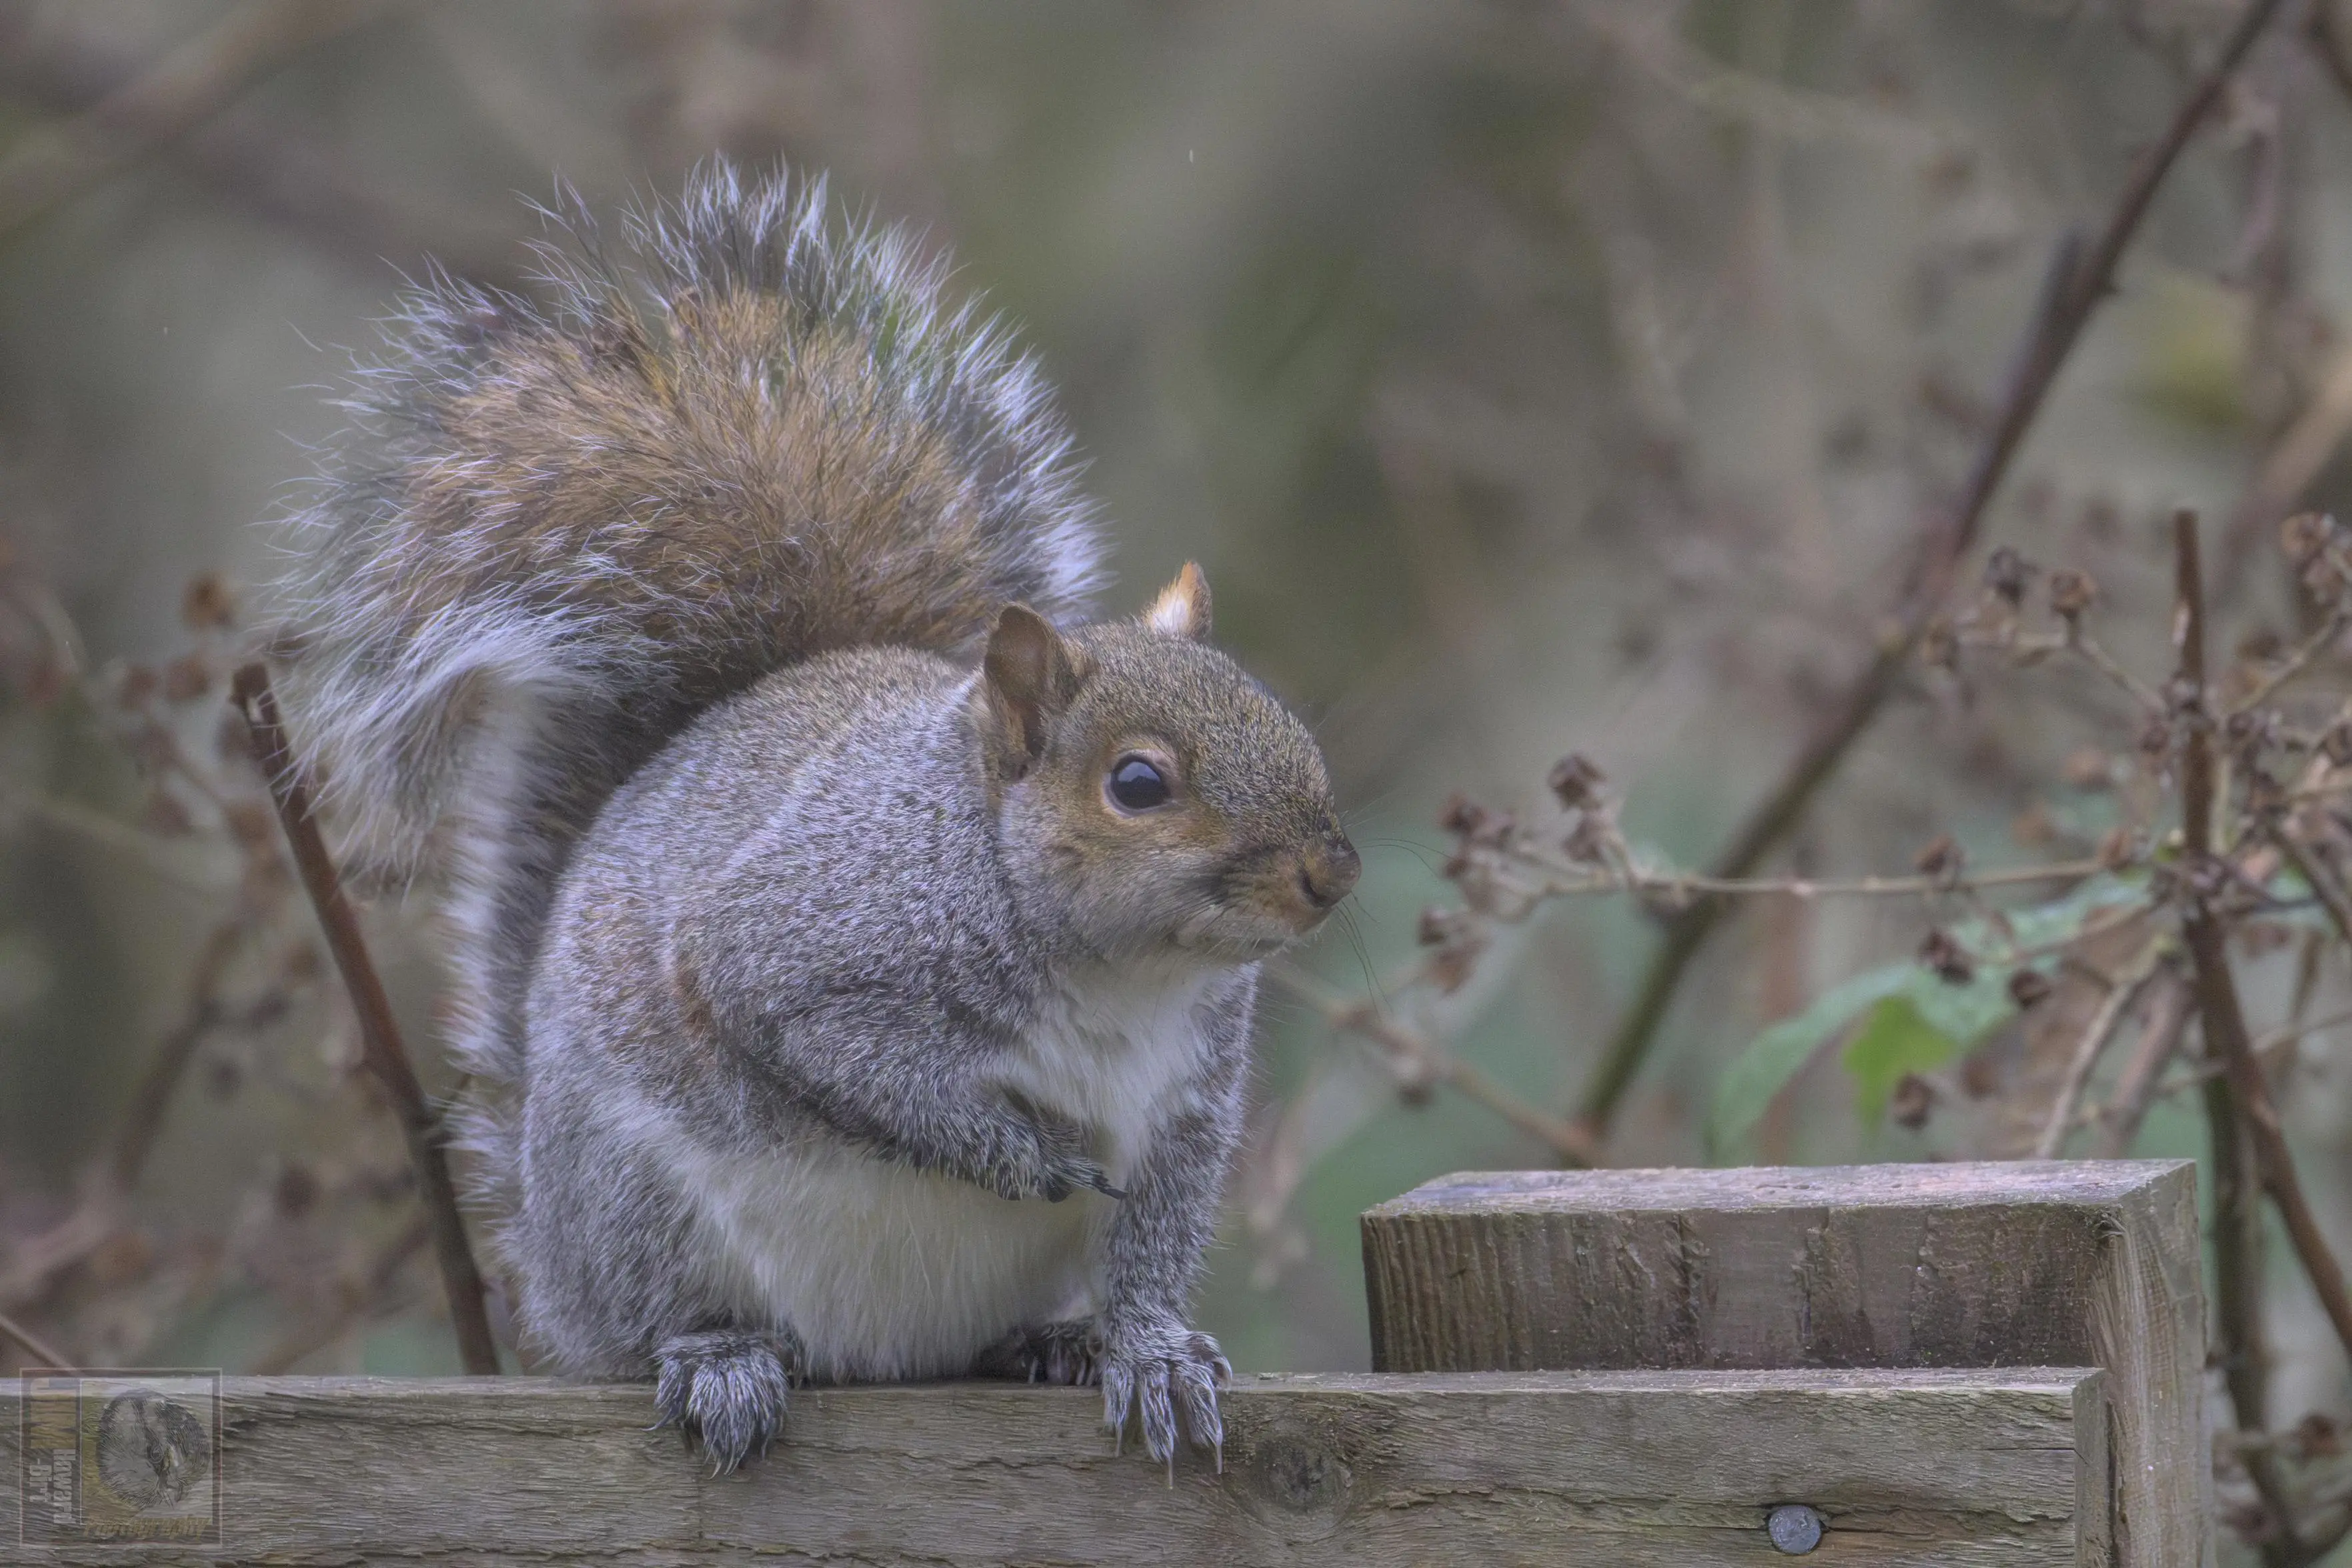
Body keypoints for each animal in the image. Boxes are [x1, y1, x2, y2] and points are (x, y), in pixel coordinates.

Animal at [262, 165, 1364, 1476]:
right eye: (1137, 784)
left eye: (1280, 714)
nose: (1331, 873)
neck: (1116, 969)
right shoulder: (805, 950)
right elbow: (852, 1064)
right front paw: (1014, 1155)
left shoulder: (1185, 1103)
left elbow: (1150, 1244)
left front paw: (1148, 1350)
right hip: (630, 1198)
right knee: (647, 1324)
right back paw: (716, 1357)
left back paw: (1052, 1344)